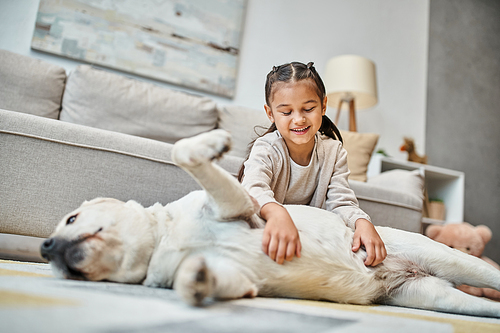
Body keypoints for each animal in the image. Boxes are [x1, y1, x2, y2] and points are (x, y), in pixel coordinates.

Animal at [41, 128, 500, 316]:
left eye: (72, 217)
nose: (46, 247)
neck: (164, 240)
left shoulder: (235, 203)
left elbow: (183, 152)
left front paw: (211, 142)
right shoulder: (237, 276)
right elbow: (202, 277)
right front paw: (196, 279)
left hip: (449, 258)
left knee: (488, 274)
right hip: (435, 298)